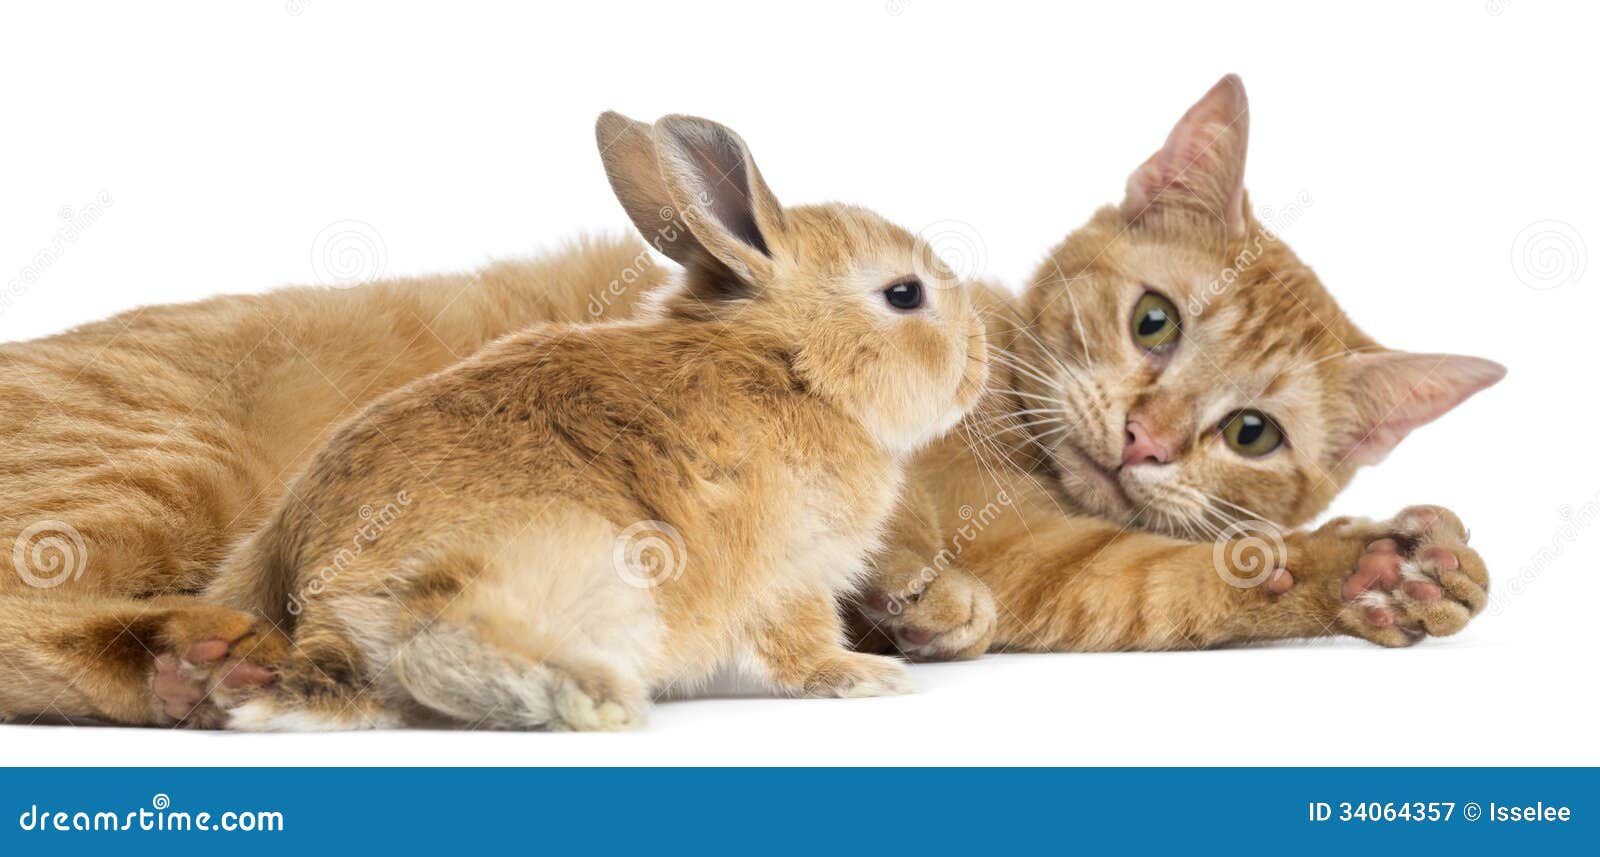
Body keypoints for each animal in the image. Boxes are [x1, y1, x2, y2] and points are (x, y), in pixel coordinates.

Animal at [198, 111, 987, 731]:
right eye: (905, 293)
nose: (979, 361)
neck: (794, 367)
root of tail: (320, 599)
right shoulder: (792, 573)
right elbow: (801, 643)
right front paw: (866, 676)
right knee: (436, 645)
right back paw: (591, 698)